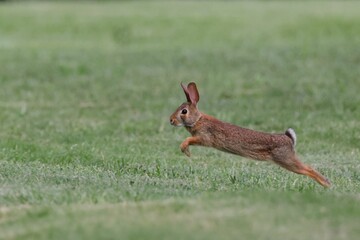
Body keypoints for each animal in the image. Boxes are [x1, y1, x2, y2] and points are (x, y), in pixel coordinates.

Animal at [170, 82, 330, 188]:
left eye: (184, 111)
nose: (171, 120)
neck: (198, 119)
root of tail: (288, 138)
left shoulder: (204, 137)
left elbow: (189, 140)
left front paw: (185, 150)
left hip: (286, 159)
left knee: (308, 168)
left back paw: (326, 184)